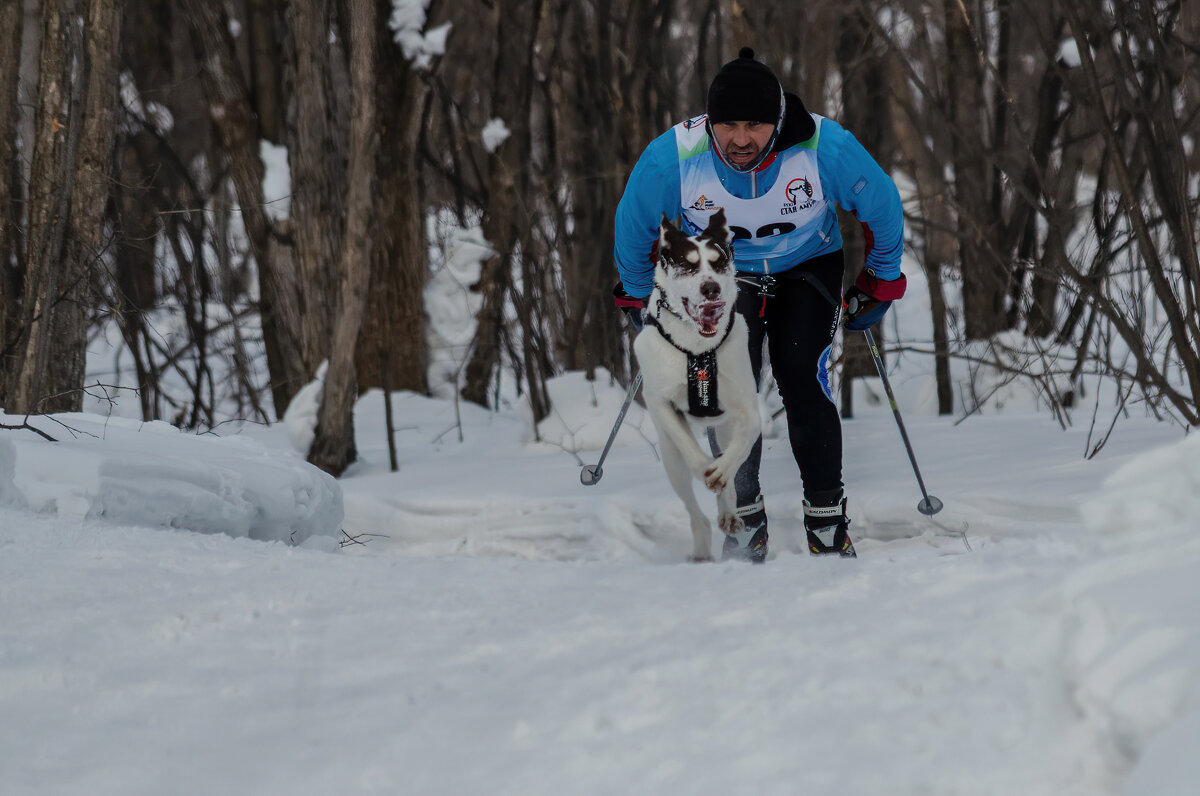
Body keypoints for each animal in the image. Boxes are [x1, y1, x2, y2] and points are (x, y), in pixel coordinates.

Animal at [638, 208, 758, 564]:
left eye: (718, 263)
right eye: (688, 264)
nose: (711, 289)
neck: (697, 349)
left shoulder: (748, 407)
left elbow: (744, 441)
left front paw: (720, 472)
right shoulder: (659, 402)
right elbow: (689, 447)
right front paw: (706, 467)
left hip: (725, 427)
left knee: (736, 462)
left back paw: (729, 512)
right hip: (670, 460)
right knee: (694, 510)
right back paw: (702, 549)